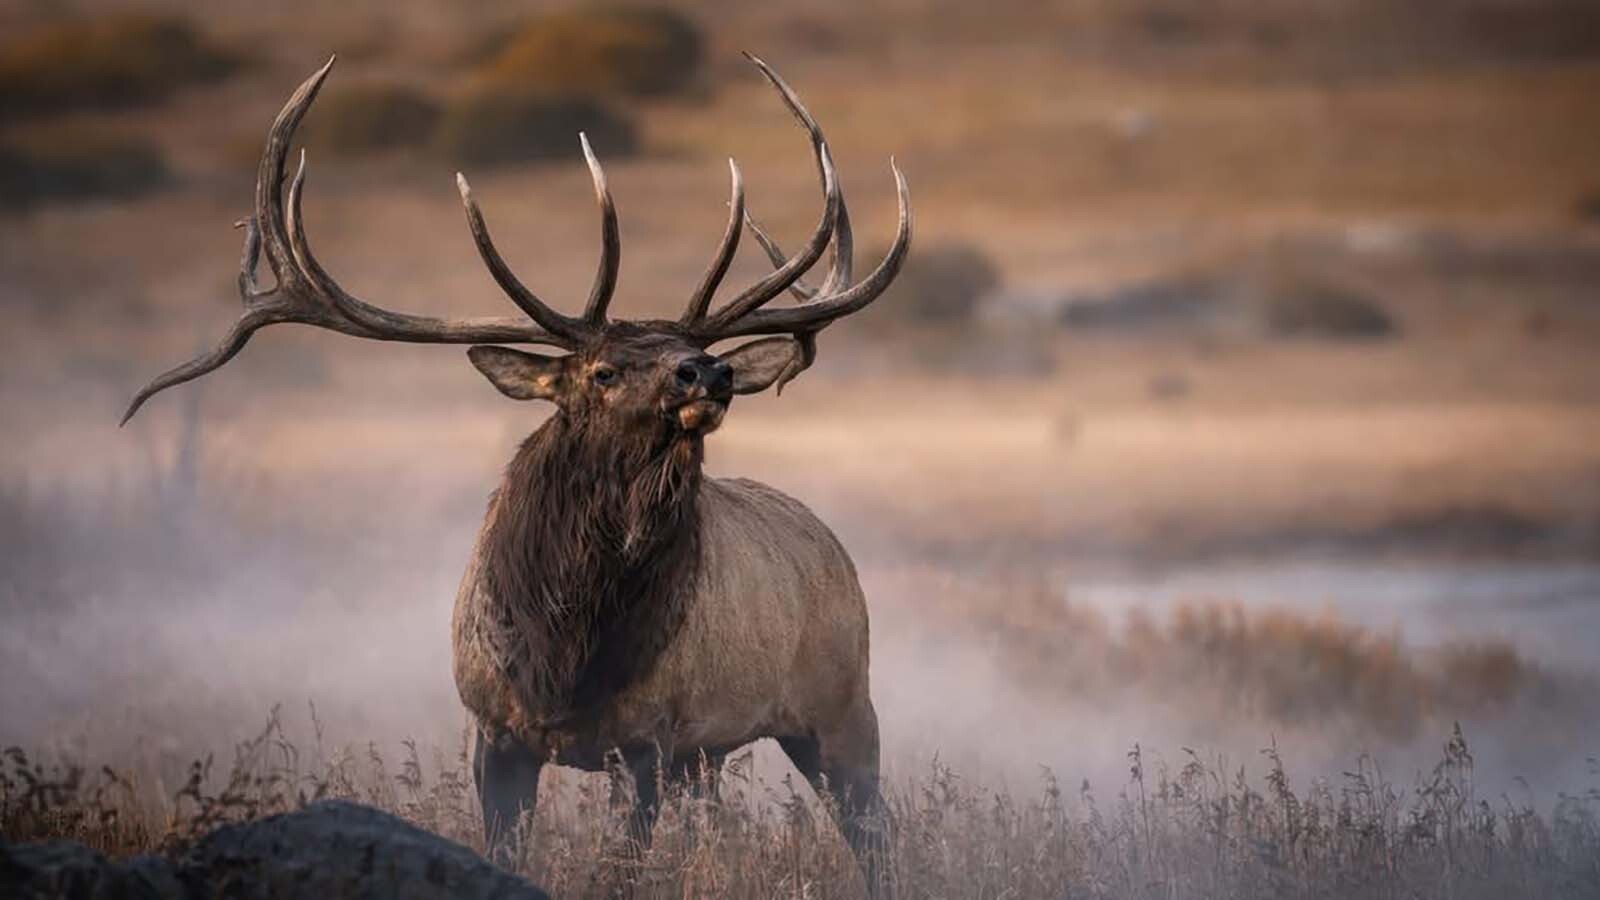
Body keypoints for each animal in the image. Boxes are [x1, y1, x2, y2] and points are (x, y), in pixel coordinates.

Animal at [121, 55, 910, 894]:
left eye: (689, 352)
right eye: (602, 370)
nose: (710, 371)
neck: (563, 656)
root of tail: (831, 545)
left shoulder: (649, 740)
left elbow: (619, 872)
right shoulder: (493, 729)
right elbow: (504, 850)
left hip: (841, 706)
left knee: (876, 835)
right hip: (721, 749)